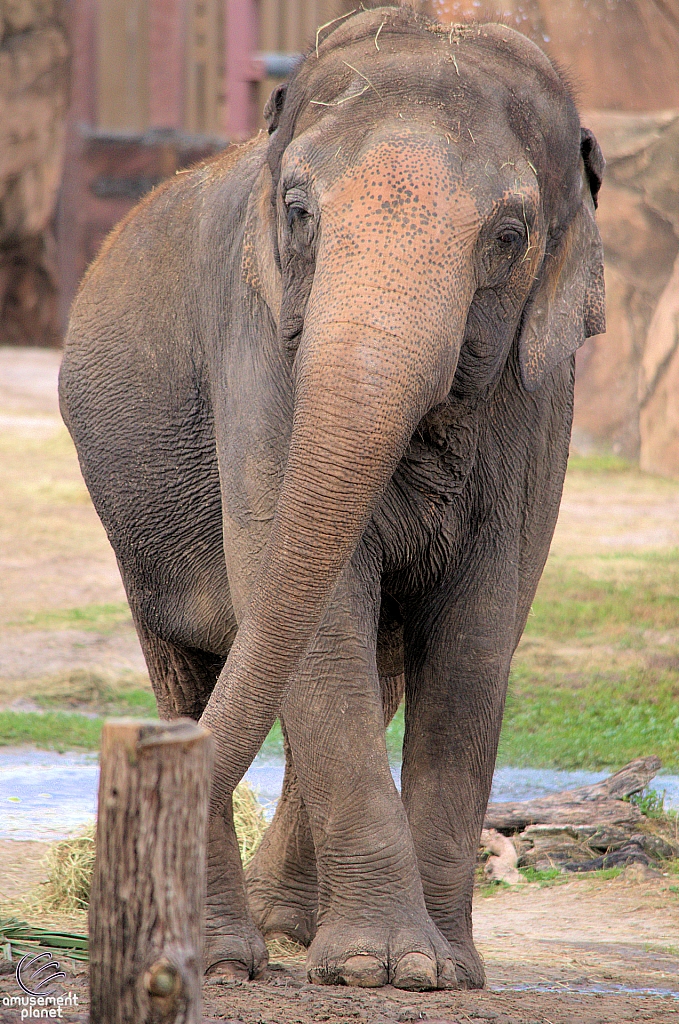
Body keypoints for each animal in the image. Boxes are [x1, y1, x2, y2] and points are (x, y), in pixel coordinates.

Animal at [59, 2, 606, 991]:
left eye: (507, 236)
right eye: (298, 212)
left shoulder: (538, 400)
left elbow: (477, 632)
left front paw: (438, 972)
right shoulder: (258, 353)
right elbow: (317, 617)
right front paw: (378, 969)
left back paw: (282, 931)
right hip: (132, 522)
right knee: (189, 672)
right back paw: (232, 957)